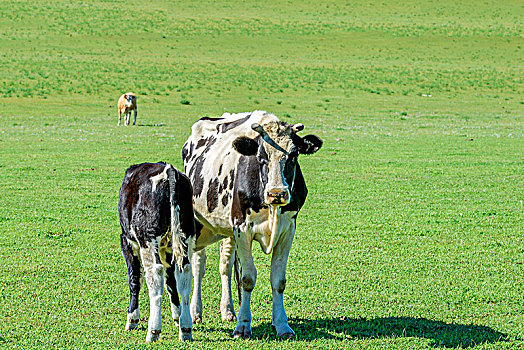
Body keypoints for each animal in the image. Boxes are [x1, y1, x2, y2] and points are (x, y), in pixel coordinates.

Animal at [118, 162, 196, 342]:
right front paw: (177, 315)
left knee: (155, 275)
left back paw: (153, 330)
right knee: (184, 273)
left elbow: (134, 280)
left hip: (147, 239)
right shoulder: (167, 249)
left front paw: (132, 319)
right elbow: (171, 282)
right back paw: (185, 328)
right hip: (185, 234)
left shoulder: (127, 241)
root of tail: (169, 171)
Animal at [184, 110, 324, 338]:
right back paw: (195, 312)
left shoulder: (288, 229)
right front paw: (243, 326)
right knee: (197, 265)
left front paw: (282, 325)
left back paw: (228, 311)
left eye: (293, 156)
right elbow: (247, 279)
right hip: (197, 222)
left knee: (225, 265)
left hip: (229, 231)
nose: (277, 193)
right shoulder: (242, 228)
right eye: (261, 157)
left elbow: (278, 280)